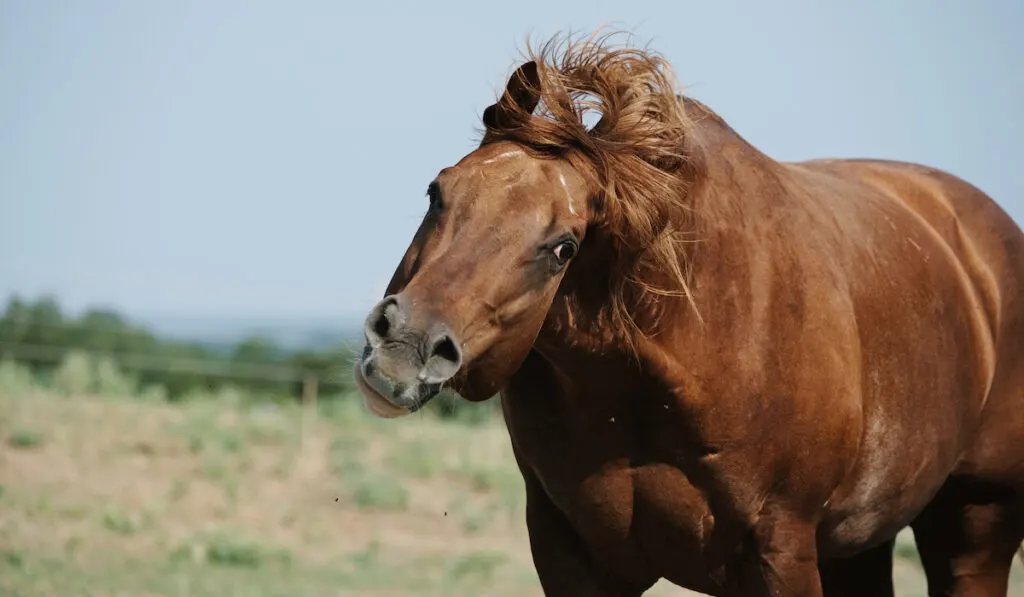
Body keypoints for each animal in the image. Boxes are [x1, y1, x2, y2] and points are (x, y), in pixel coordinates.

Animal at [352, 30, 1024, 593]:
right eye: (437, 192)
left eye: (562, 246)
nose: (404, 349)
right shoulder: (570, 555)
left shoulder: (782, 552)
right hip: (859, 542)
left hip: (976, 525)